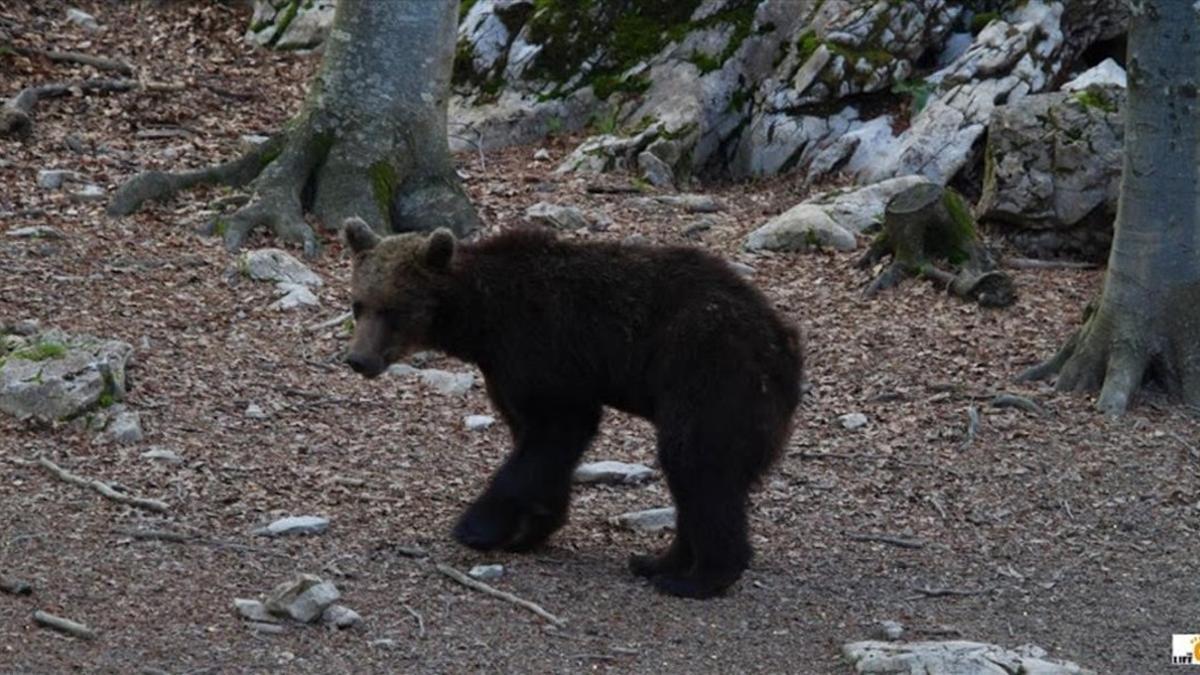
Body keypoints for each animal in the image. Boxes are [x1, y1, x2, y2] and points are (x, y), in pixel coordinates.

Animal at [343, 218, 801, 595]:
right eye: (358, 304)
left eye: (393, 309)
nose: (358, 359)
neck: (482, 321)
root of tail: (784, 345)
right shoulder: (507, 371)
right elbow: (536, 442)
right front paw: (530, 528)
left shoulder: (542, 345)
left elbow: (558, 428)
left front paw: (477, 526)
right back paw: (657, 561)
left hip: (707, 370)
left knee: (696, 463)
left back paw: (698, 576)